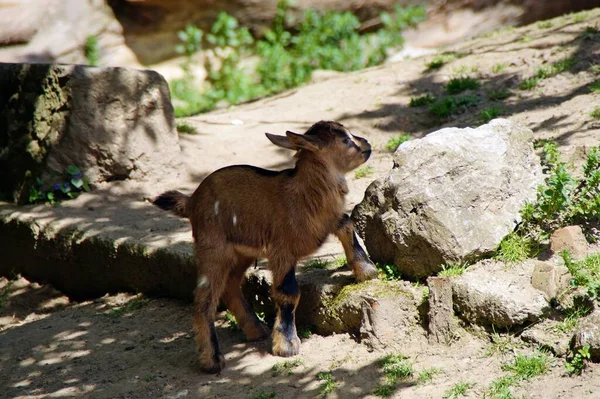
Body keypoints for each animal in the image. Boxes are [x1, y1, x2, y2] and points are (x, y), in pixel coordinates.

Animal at [152, 120, 378, 374]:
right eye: (346, 140)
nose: (366, 144)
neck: (304, 195)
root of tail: (191, 201)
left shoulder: (327, 221)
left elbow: (346, 222)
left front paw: (366, 270)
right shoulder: (282, 251)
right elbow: (288, 292)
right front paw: (286, 345)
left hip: (239, 253)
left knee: (230, 286)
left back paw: (256, 331)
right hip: (213, 249)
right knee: (204, 298)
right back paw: (212, 360)